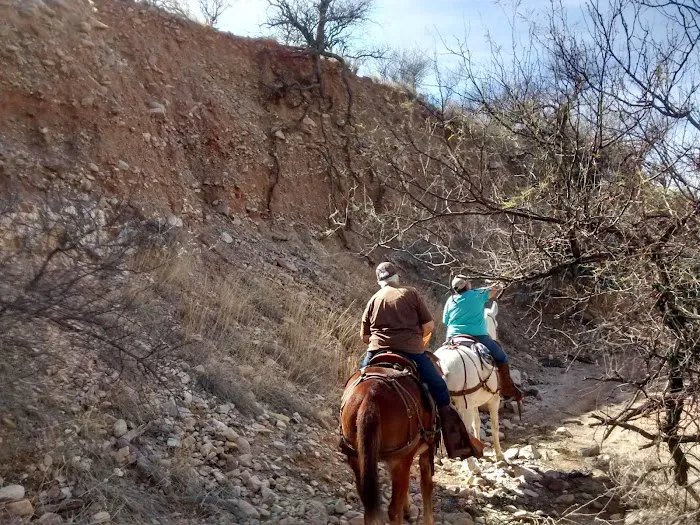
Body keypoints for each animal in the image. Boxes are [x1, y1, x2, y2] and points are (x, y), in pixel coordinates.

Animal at [339, 353, 440, 525]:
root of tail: (371, 394)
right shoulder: (427, 451)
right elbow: (426, 484)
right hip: (400, 459)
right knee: (393, 510)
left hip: (356, 456)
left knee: (368, 504)